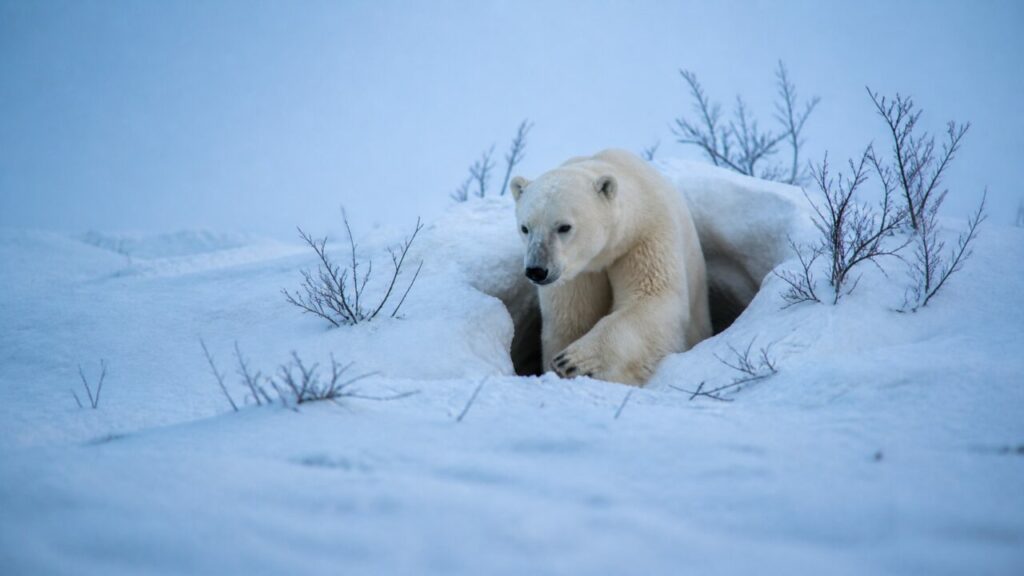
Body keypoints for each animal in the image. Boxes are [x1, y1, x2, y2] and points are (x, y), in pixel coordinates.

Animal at [510, 149, 712, 386]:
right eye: (525, 228)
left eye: (564, 227)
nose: (537, 270)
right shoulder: (578, 274)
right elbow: (571, 320)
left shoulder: (645, 238)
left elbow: (653, 299)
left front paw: (572, 362)